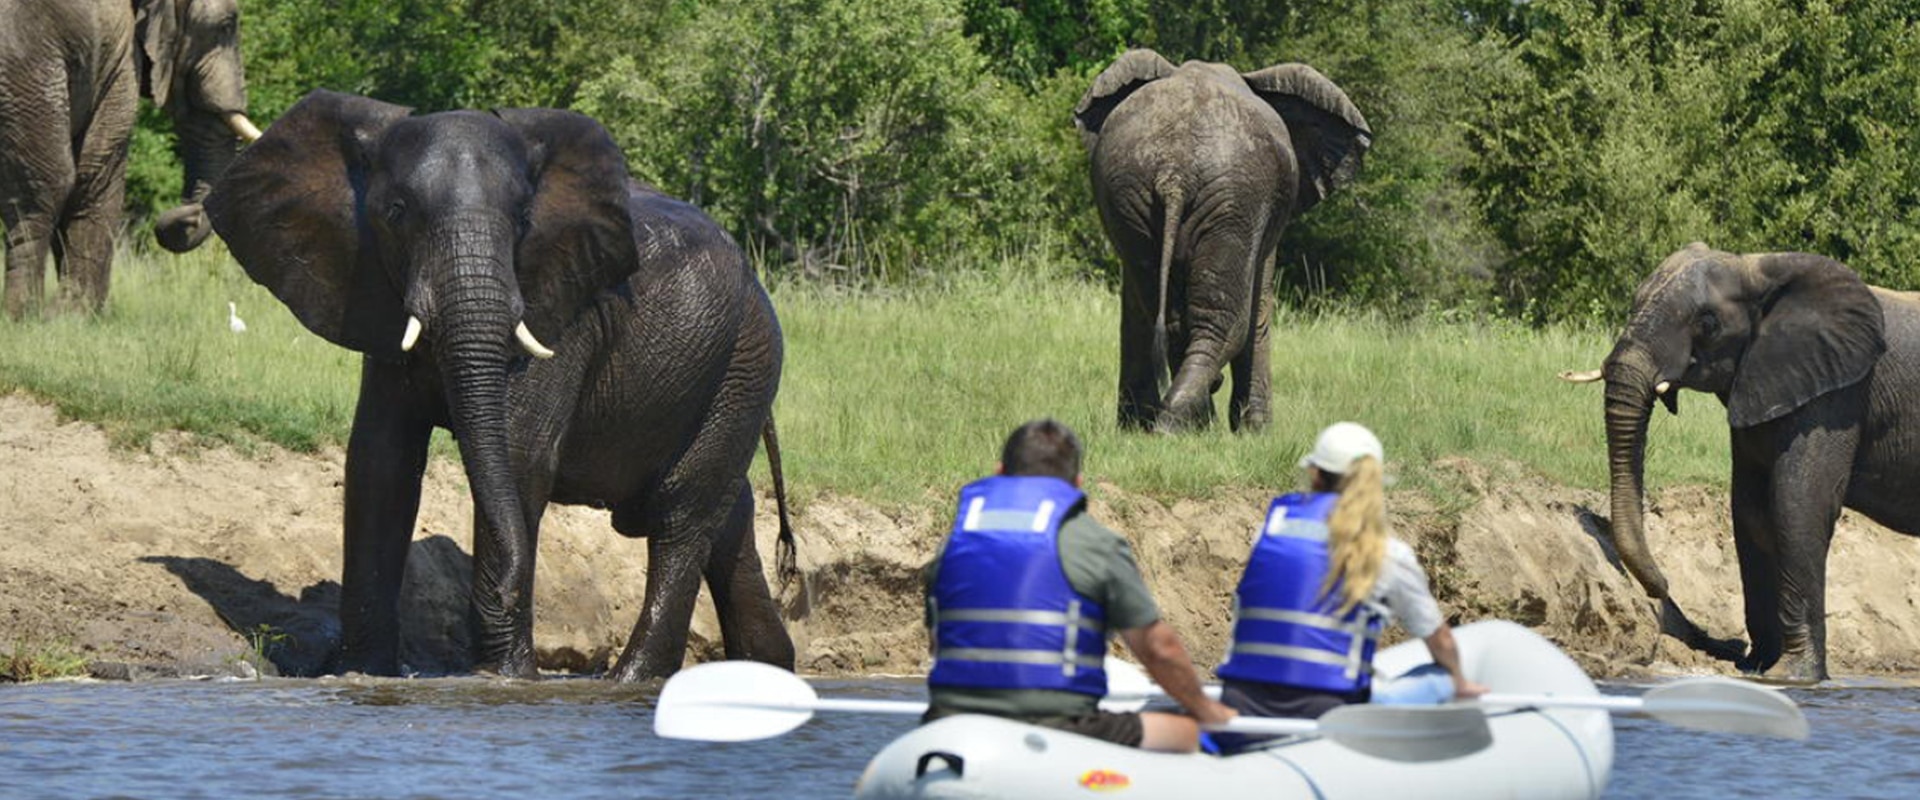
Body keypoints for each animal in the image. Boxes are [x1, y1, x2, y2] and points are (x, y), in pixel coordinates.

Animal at [0, 0, 259, 318]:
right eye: (225, 26)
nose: (186, 217)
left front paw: (65, 317)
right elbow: (89, 171)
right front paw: (72, 316)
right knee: (46, 184)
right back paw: (20, 314)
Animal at [212, 92, 802, 679]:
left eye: (523, 219)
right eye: (396, 213)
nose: (514, 594)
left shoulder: (561, 317)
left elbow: (520, 460)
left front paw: (502, 677)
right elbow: (381, 462)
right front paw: (361, 670)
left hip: (746, 362)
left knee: (681, 518)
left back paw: (630, 678)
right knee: (727, 518)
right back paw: (767, 666)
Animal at [1075, 51, 1374, 429]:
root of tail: (1174, 173)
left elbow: (1135, 311)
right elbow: (1258, 306)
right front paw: (1256, 432)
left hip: (1129, 191)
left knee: (1158, 309)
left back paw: (1171, 423)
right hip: (1233, 201)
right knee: (1224, 321)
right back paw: (1177, 425)